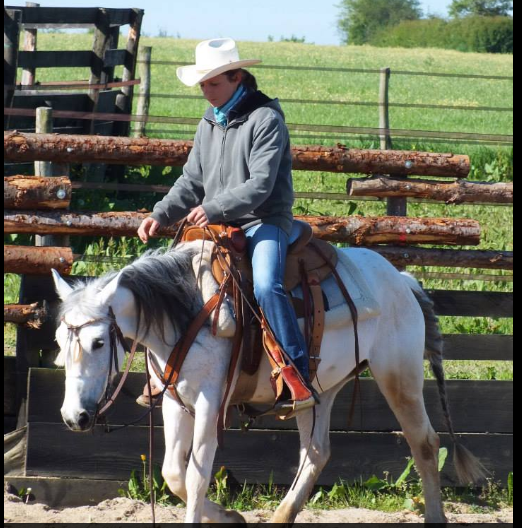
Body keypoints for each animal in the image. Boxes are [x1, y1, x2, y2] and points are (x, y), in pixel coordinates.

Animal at [50, 242, 482, 524]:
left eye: (98, 342)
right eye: (58, 341)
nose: (74, 418)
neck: (188, 311)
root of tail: (401, 280)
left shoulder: (209, 403)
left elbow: (197, 474)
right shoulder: (176, 401)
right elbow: (174, 472)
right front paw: (229, 516)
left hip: (399, 375)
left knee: (424, 443)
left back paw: (435, 515)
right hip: (321, 389)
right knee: (316, 452)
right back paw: (280, 517)